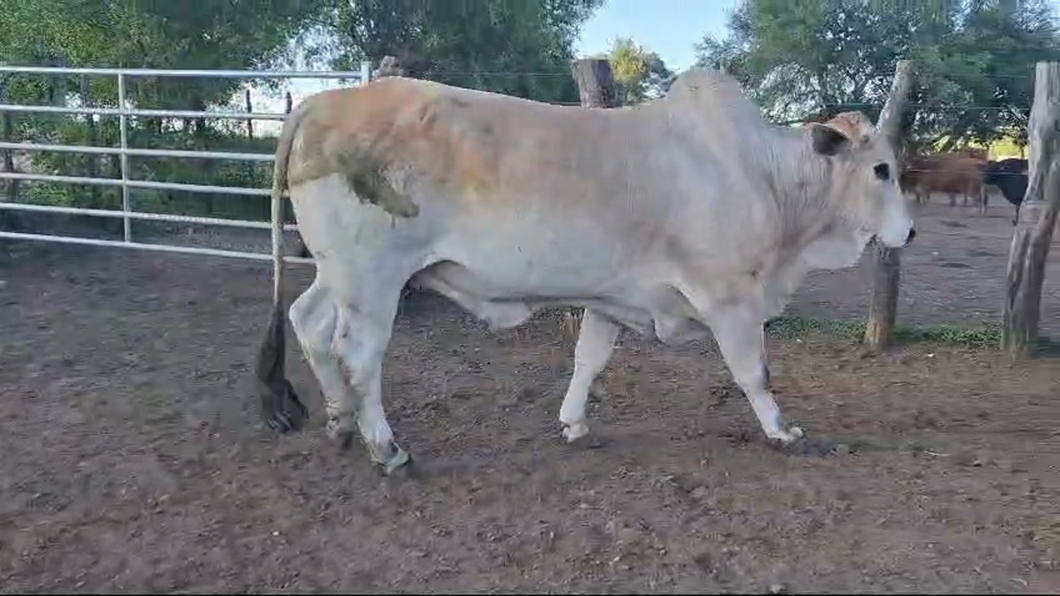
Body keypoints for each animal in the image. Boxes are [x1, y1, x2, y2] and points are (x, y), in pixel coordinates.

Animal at [252, 67, 915, 472]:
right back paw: (386, 449)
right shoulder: (729, 297)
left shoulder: (610, 297)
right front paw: (782, 431)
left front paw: (572, 423)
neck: (762, 174)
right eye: (881, 169)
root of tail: (317, 102)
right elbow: (755, 372)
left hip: (339, 274)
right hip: (374, 279)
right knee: (358, 353)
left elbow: (588, 361)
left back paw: (340, 423)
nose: (909, 232)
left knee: (308, 323)